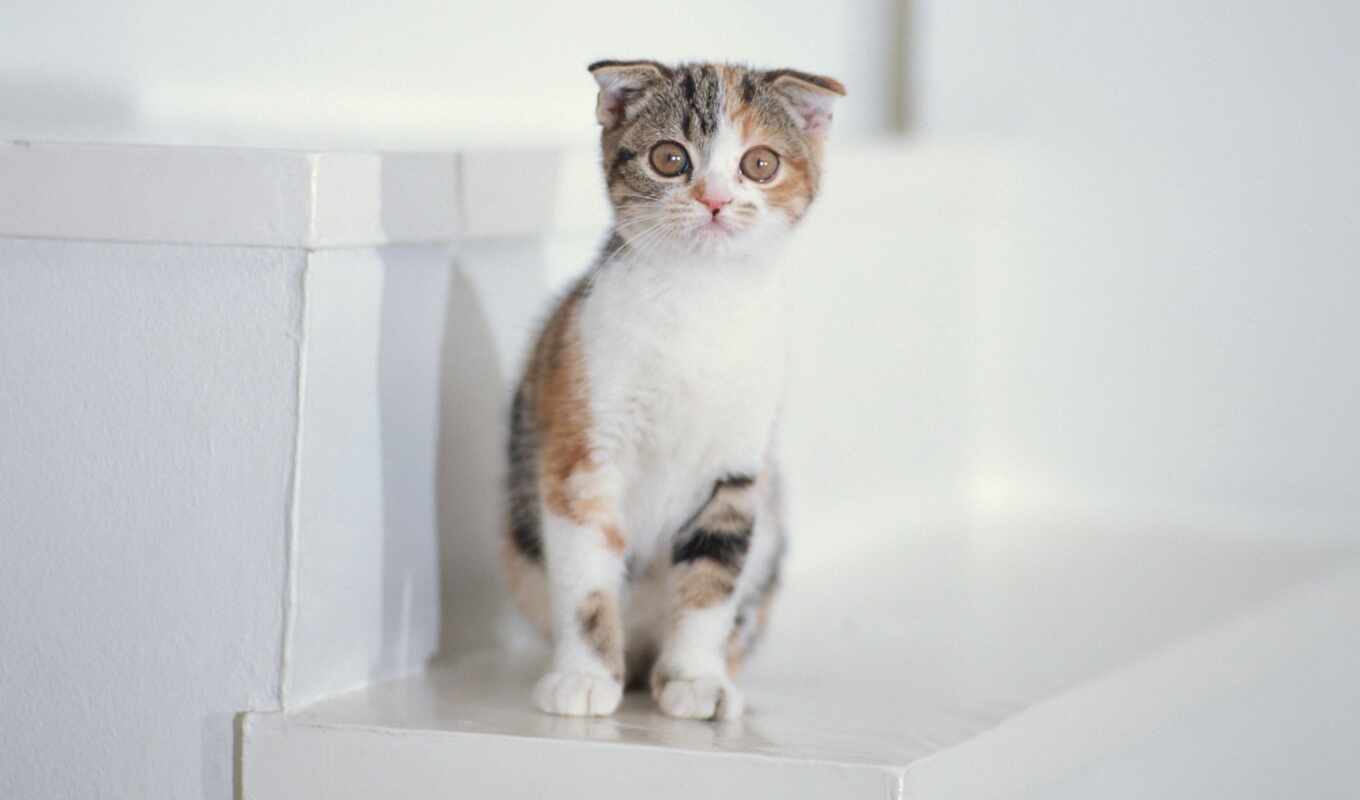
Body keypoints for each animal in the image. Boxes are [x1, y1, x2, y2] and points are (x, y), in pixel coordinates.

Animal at [503, 57, 837, 718]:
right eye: (670, 158)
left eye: (760, 164)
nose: (714, 199)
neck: (698, 298)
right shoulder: (582, 449)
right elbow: (585, 575)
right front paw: (584, 677)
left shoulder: (736, 468)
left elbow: (711, 579)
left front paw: (695, 679)